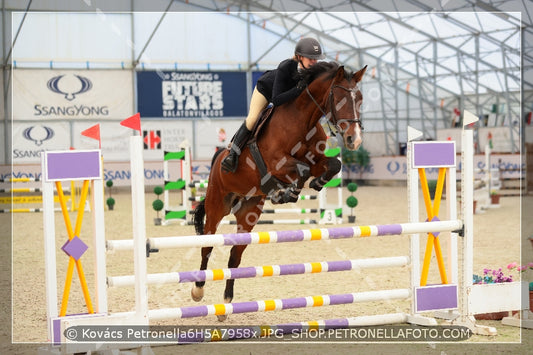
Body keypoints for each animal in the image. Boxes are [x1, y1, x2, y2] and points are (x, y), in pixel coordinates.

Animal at [190, 62, 366, 322]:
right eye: (339, 98)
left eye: (360, 99)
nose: (355, 139)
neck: (303, 121)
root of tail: (218, 158)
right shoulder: (277, 164)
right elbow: (301, 169)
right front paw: (288, 192)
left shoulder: (316, 160)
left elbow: (332, 165)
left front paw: (312, 185)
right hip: (216, 206)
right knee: (207, 246)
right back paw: (198, 291)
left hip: (249, 212)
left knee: (235, 256)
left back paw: (226, 304)